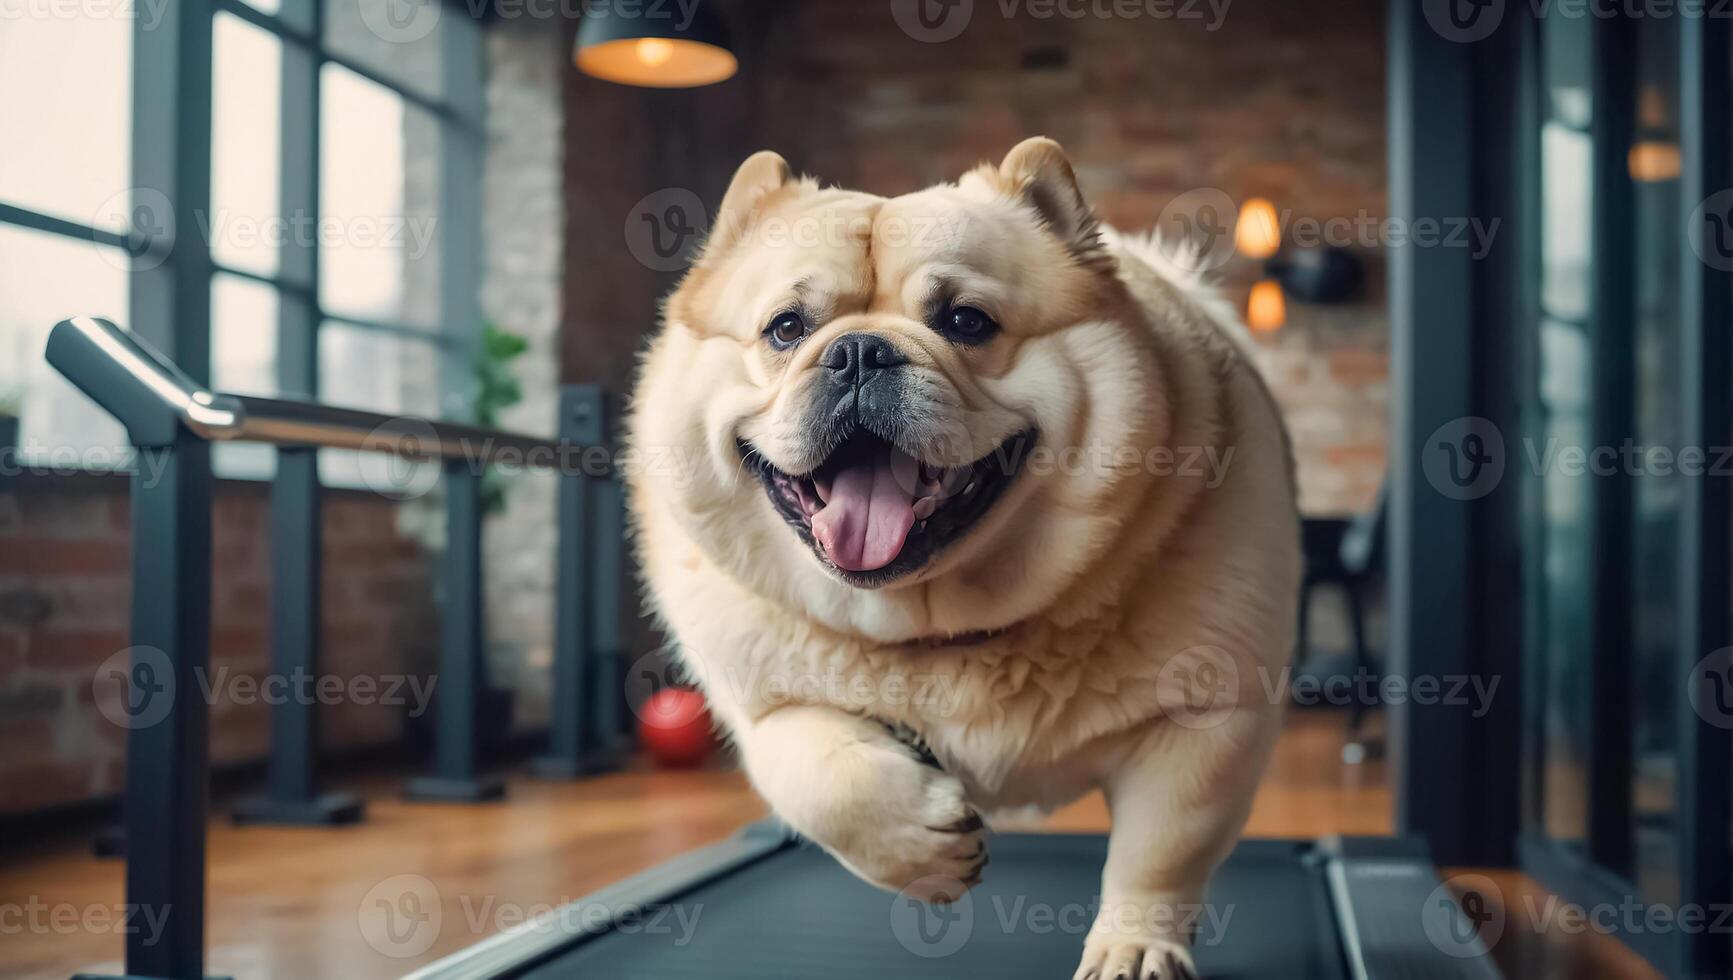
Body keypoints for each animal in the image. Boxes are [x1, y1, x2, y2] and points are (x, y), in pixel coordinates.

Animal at [627, 137, 1303, 978]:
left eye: (965, 321)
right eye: (784, 329)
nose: (857, 352)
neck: (939, 624)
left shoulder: (1205, 725)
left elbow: (1159, 855)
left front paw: (1132, 949)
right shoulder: (763, 698)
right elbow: (816, 774)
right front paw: (922, 851)